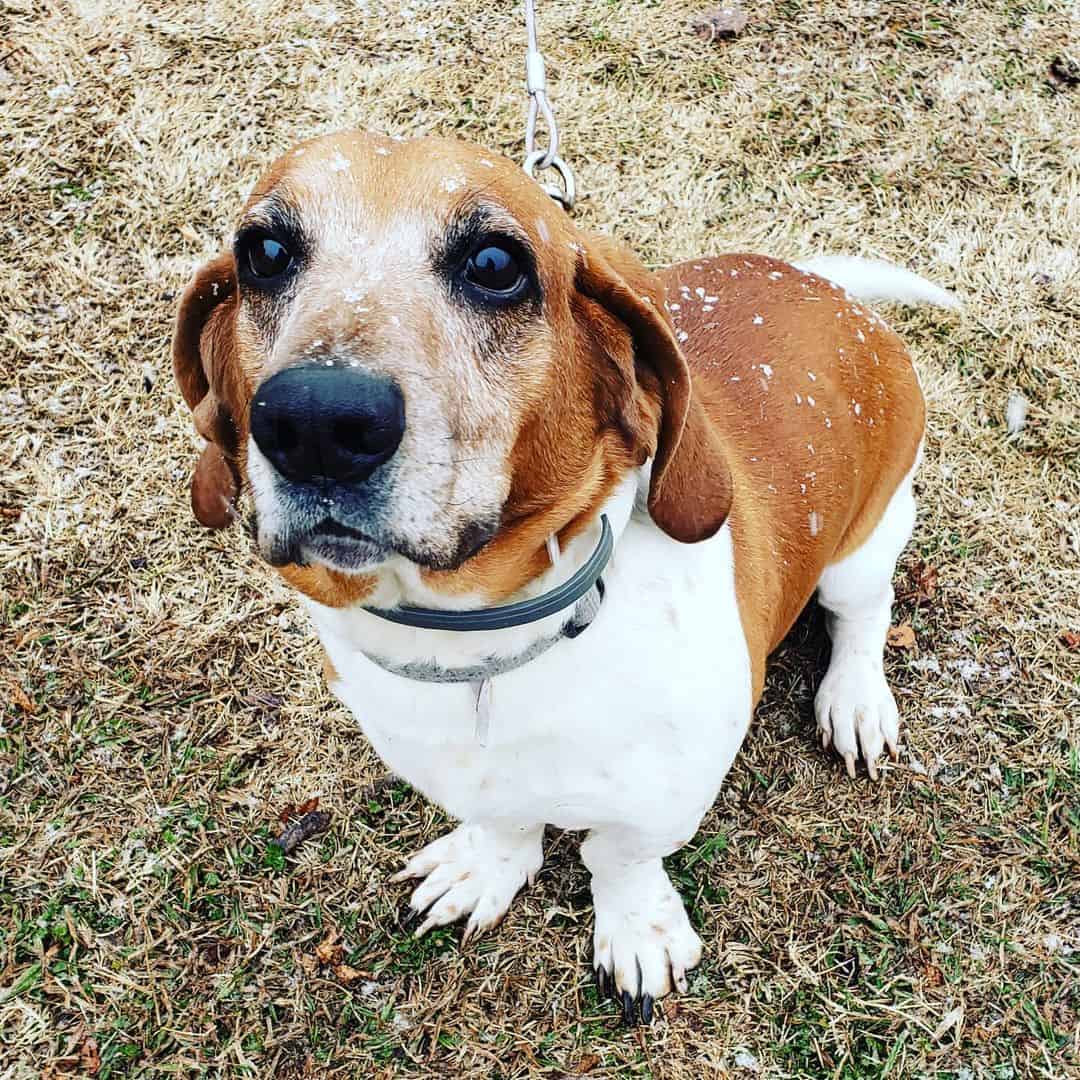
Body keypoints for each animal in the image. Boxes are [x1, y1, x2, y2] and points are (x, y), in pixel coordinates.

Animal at [172, 130, 959, 1023]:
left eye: (494, 263)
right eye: (263, 253)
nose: (314, 422)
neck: (487, 646)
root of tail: (825, 288)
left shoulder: (663, 796)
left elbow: (619, 857)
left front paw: (637, 931)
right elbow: (503, 824)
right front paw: (486, 867)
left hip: (864, 547)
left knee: (865, 616)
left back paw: (855, 702)